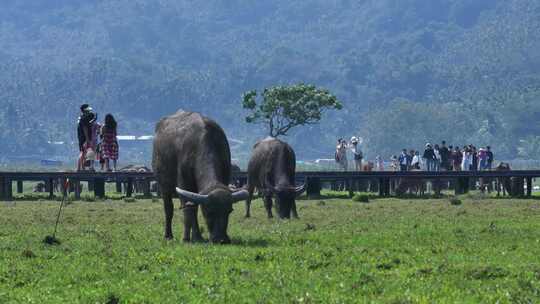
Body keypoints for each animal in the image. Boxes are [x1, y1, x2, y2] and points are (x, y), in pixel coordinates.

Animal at [152, 110, 249, 243]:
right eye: (209, 212)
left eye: (229, 211)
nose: (221, 239)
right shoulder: (184, 183)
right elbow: (189, 210)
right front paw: (192, 237)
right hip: (163, 185)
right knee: (169, 209)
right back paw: (169, 235)